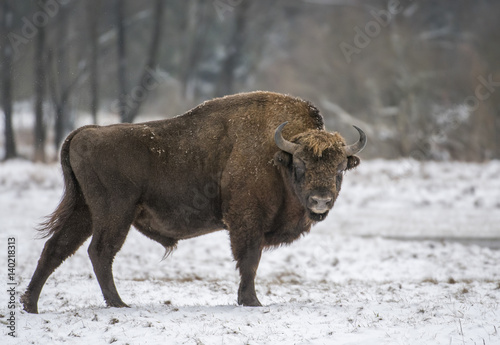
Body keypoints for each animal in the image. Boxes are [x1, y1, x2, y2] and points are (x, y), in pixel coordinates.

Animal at [21, 90, 366, 312]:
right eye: (301, 166)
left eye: (339, 169)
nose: (320, 201)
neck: (276, 155)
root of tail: (84, 133)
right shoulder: (246, 221)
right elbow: (249, 260)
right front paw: (251, 301)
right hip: (114, 213)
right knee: (100, 252)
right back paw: (119, 303)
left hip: (84, 212)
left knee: (56, 249)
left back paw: (30, 305)